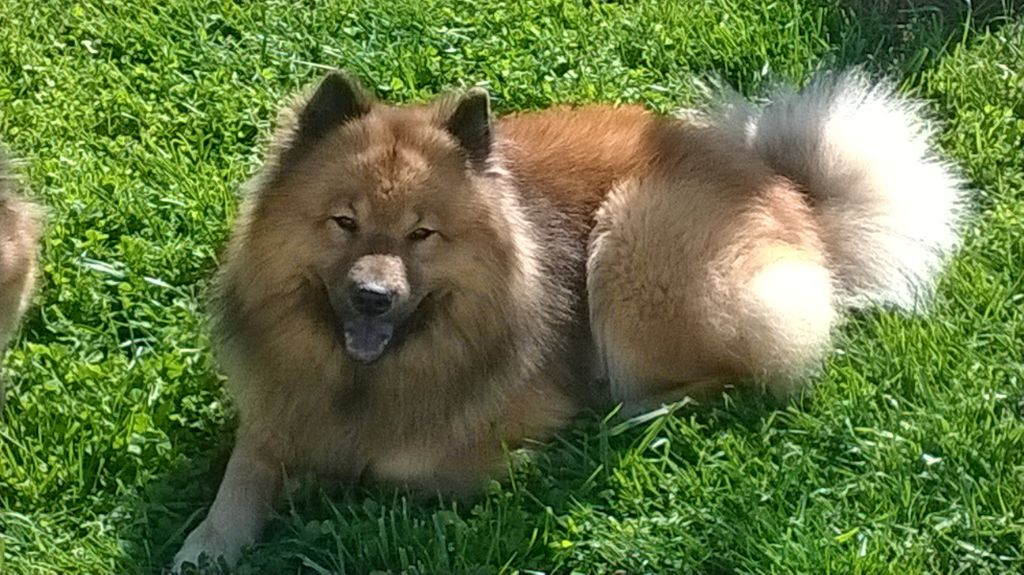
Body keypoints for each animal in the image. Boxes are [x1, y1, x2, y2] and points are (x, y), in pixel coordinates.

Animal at [173, 69, 963, 570]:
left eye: (422, 235)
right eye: (344, 222)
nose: (373, 296)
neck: (364, 379)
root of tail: (793, 197)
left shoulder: (449, 454)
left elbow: (401, 467)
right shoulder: (277, 408)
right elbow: (243, 474)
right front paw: (207, 545)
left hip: (634, 240)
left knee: (726, 378)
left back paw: (622, 418)